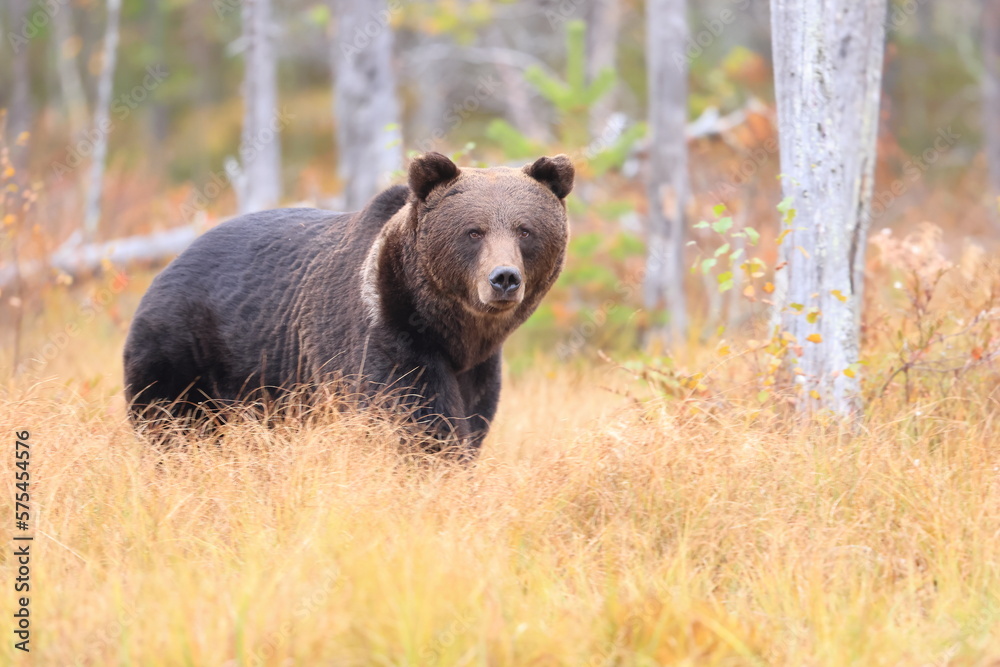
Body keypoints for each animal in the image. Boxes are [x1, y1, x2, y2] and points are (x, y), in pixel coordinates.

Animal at [123, 152, 574, 456]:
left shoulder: (478, 366)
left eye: (525, 230)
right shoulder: (385, 331)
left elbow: (474, 416)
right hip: (184, 347)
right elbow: (417, 416)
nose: (504, 278)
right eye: (474, 231)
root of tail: (166, 265)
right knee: (174, 422)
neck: (450, 331)